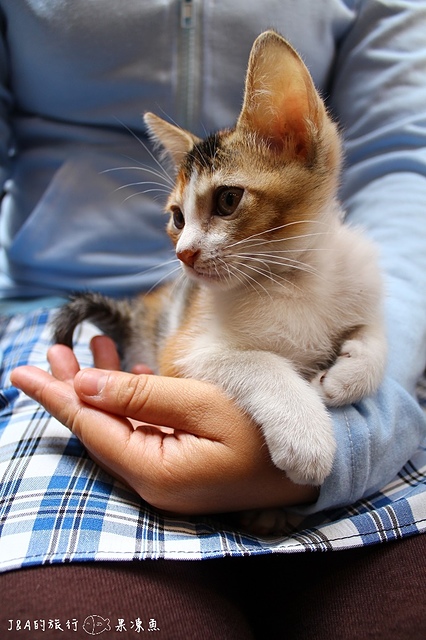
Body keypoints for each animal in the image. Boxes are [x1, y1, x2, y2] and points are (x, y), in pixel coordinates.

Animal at [53, 30, 386, 492]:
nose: (183, 253)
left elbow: (376, 334)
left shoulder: (359, 280)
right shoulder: (180, 353)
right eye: (178, 217)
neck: (294, 278)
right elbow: (255, 360)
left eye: (228, 200)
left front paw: (349, 374)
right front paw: (304, 434)